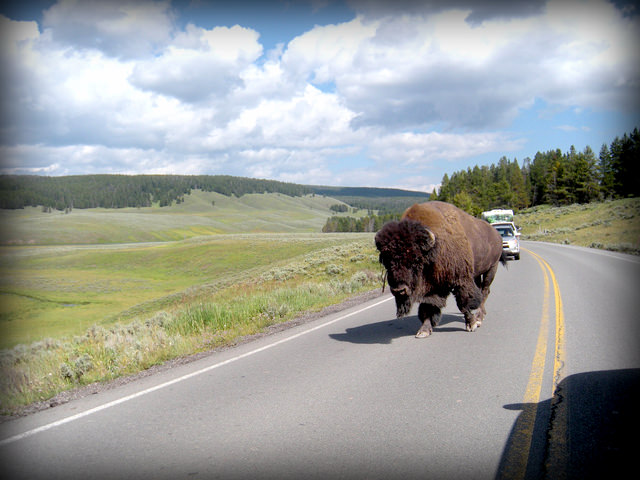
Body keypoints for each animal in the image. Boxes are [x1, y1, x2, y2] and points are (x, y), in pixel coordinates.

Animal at [375, 201, 506, 338]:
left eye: (416, 259)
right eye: (386, 261)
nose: (399, 290)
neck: (434, 248)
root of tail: (497, 234)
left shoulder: (460, 280)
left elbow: (463, 303)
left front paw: (472, 324)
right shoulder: (433, 287)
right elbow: (429, 307)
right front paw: (424, 330)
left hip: (492, 268)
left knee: (485, 290)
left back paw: (479, 318)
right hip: (477, 274)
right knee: (480, 290)